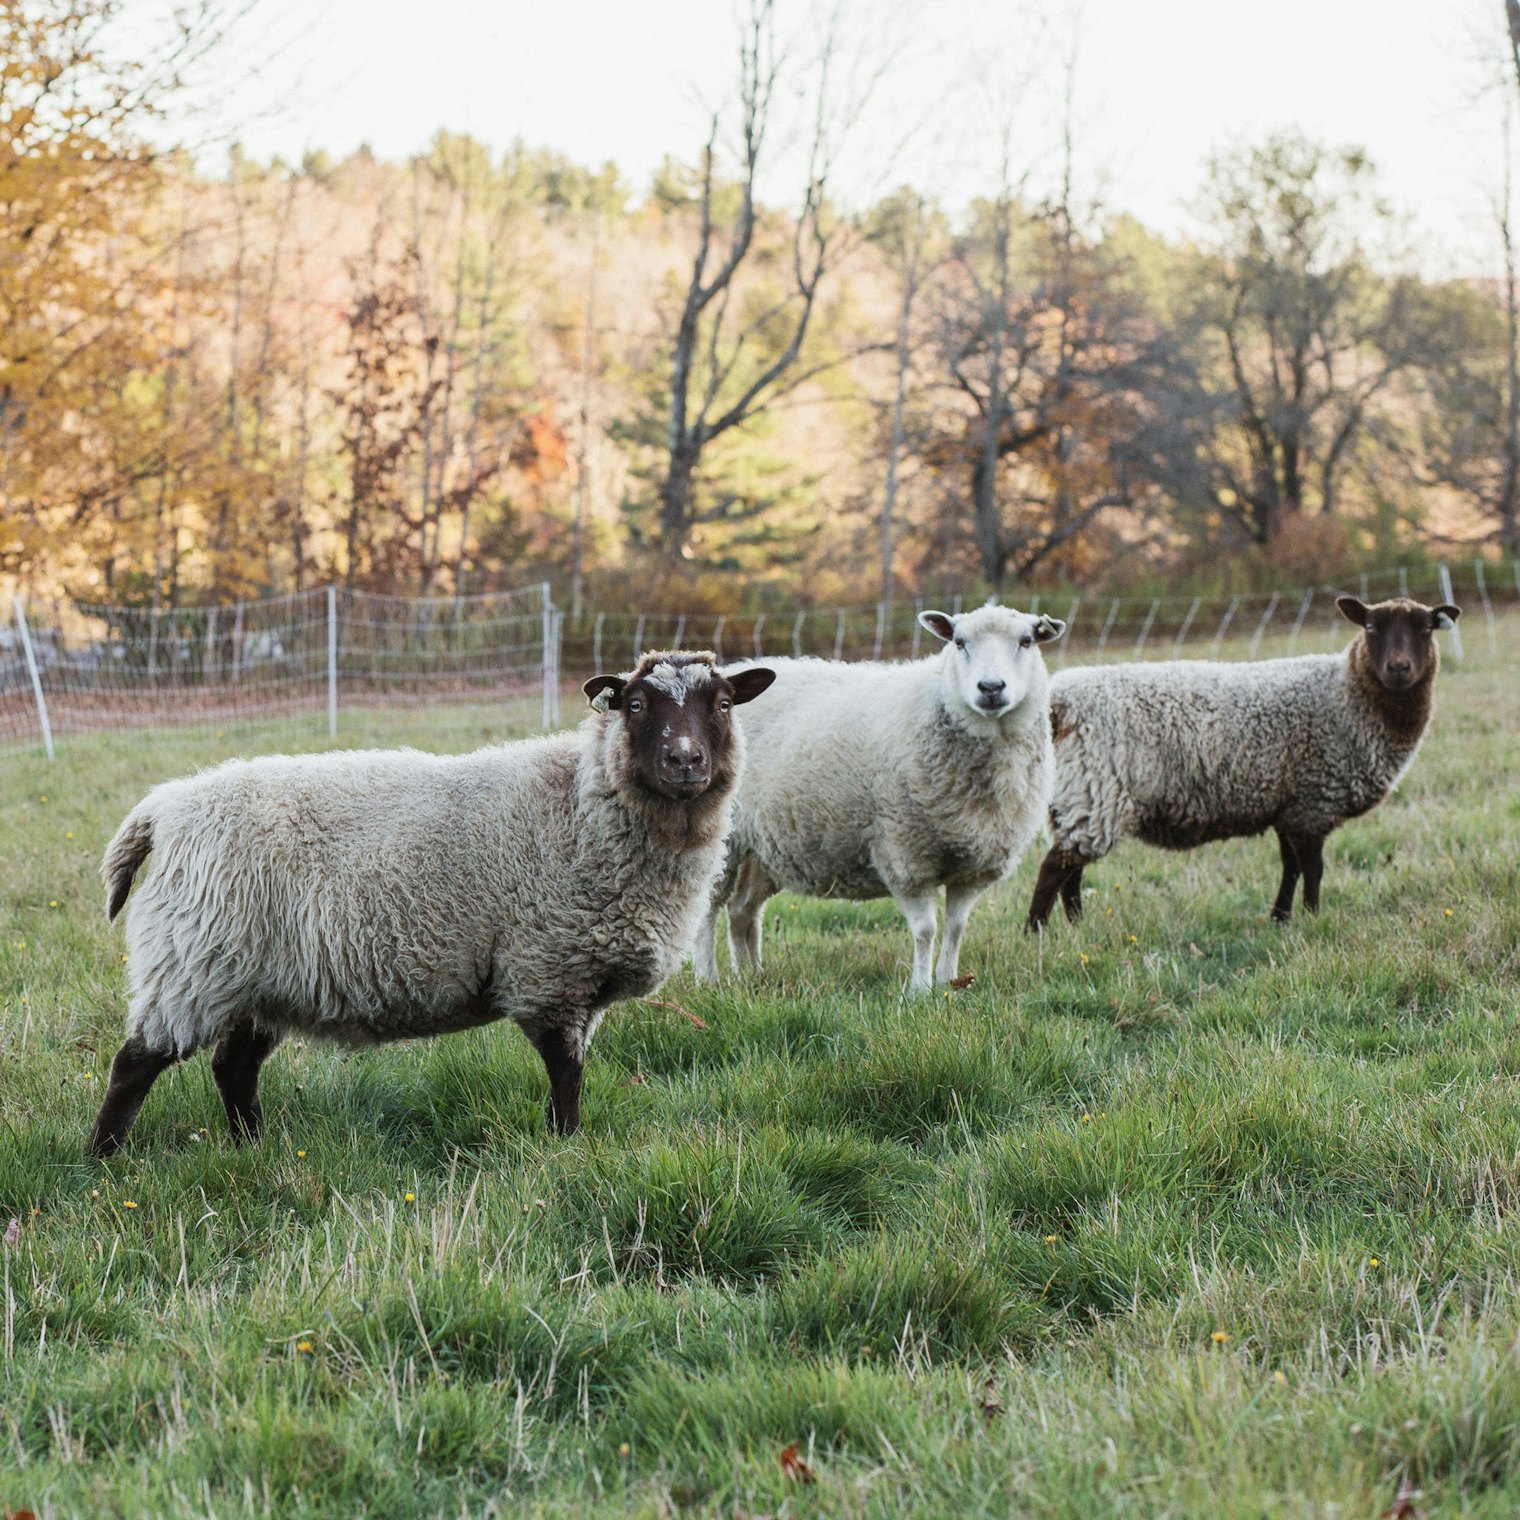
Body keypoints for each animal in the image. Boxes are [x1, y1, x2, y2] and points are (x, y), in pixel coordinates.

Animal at [87, 650, 776, 1156]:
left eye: (722, 704)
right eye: (635, 704)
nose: (684, 760)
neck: (582, 803)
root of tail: (163, 809)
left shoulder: (578, 977)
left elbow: (572, 1068)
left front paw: (565, 1141)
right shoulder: (547, 969)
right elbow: (566, 1072)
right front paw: (565, 1147)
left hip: (261, 977)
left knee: (233, 1067)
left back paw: (253, 1148)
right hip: (193, 962)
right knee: (135, 1063)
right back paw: (103, 1160)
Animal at [693, 603, 1066, 990]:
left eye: (1027, 641)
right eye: (959, 642)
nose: (991, 688)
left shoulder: (975, 867)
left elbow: (956, 928)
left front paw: (949, 982)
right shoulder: (906, 853)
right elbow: (926, 930)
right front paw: (920, 989)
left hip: (763, 848)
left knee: (743, 910)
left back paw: (752, 974)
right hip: (727, 839)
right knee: (708, 912)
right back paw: (708, 978)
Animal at [1026, 595, 1460, 929]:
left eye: (1426, 629)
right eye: (1371, 627)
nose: (1399, 668)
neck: (1346, 697)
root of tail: (1060, 702)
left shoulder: (1289, 806)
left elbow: (1291, 867)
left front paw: (1281, 918)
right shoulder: (1313, 804)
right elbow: (1313, 870)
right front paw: (1313, 918)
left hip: (1077, 798)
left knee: (1071, 873)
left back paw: (1078, 928)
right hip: (1096, 791)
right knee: (1055, 868)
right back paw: (1037, 934)